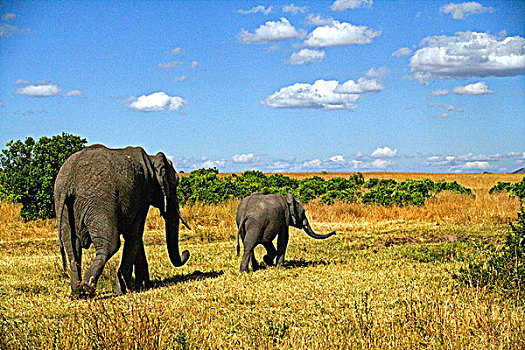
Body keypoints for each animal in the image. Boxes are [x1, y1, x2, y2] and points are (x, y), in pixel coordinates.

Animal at [54, 144, 190, 298]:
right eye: (176, 182)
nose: (186, 252)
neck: (151, 160)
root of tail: (69, 181)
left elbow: (135, 237)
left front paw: (143, 286)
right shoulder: (142, 195)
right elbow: (134, 235)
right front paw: (124, 291)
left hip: (63, 206)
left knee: (72, 248)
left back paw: (77, 294)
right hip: (99, 203)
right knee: (110, 245)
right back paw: (87, 288)